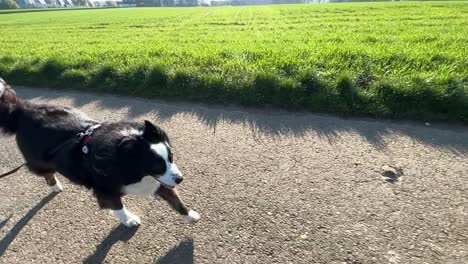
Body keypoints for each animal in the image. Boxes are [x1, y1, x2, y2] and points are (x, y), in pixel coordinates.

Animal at [0, 78, 199, 227]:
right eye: (156, 165)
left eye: (171, 158)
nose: (181, 179)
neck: (125, 156)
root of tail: (22, 109)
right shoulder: (106, 189)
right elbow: (118, 206)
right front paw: (129, 220)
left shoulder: (162, 179)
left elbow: (175, 199)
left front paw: (189, 215)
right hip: (38, 161)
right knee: (46, 173)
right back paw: (55, 185)